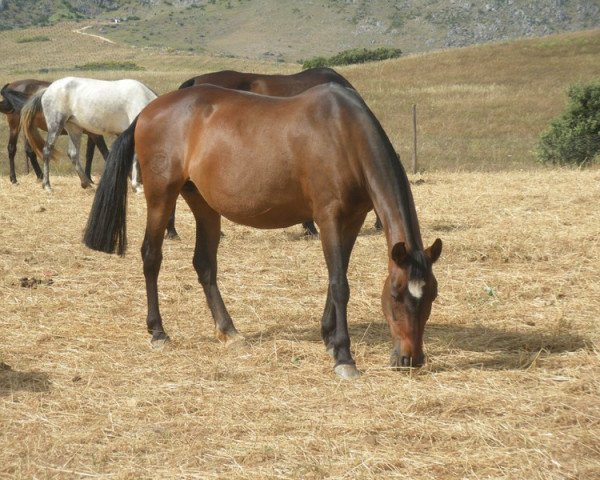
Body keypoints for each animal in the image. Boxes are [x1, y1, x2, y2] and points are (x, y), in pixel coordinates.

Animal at [20, 76, 157, 190]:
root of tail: (47, 89)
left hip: (74, 129)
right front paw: (136, 185)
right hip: (56, 126)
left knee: (73, 154)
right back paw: (47, 185)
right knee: (47, 150)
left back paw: (86, 183)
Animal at [83, 84, 440, 380]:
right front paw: (343, 355)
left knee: (204, 265)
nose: (410, 359)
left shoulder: (351, 221)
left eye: (432, 295)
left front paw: (328, 336)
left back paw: (228, 330)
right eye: (395, 295)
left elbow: (335, 278)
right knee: (151, 257)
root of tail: (147, 111)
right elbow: (340, 285)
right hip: (160, 196)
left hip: (203, 203)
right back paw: (158, 332)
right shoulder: (329, 219)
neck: (344, 134)